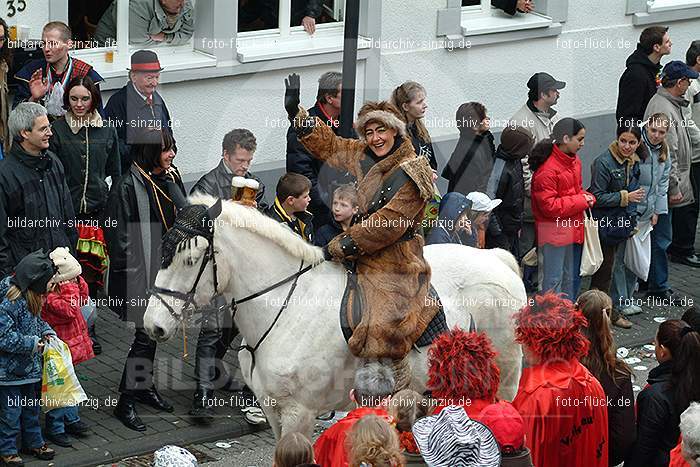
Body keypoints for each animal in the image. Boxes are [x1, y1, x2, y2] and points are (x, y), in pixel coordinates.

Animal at [144, 195, 524, 442]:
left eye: (190, 259)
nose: (153, 325)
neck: (287, 307)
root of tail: (498, 259)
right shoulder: (272, 409)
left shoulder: (299, 413)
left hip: (504, 379)